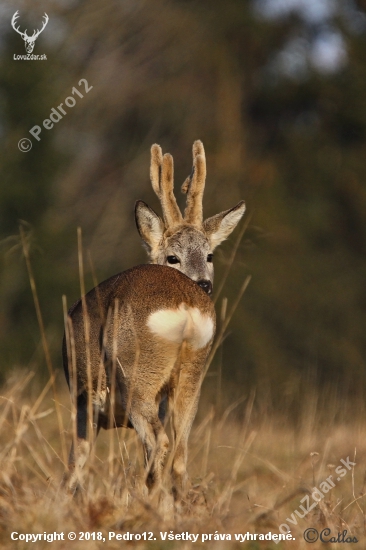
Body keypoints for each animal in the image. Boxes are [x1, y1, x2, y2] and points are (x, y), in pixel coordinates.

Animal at [63, 141, 246, 500]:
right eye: (173, 256)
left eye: (209, 255)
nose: (204, 284)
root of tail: (186, 303)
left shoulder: (84, 399)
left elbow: (75, 465)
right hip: (191, 374)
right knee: (180, 453)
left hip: (137, 373)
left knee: (159, 443)